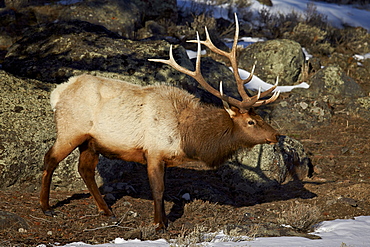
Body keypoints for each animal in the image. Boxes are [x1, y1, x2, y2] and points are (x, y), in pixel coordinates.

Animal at [39, 13, 278, 230]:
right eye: (251, 122)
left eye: (260, 117)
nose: (276, 135)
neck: (187, 137)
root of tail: (58, 93)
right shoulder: (153, 151)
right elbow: (158, 189)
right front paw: (159, 223)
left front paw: (162, 221)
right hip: (70, 130)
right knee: (50, 158)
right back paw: (46, 207)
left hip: (91, 142)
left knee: (85, 170)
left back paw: (106, 210)